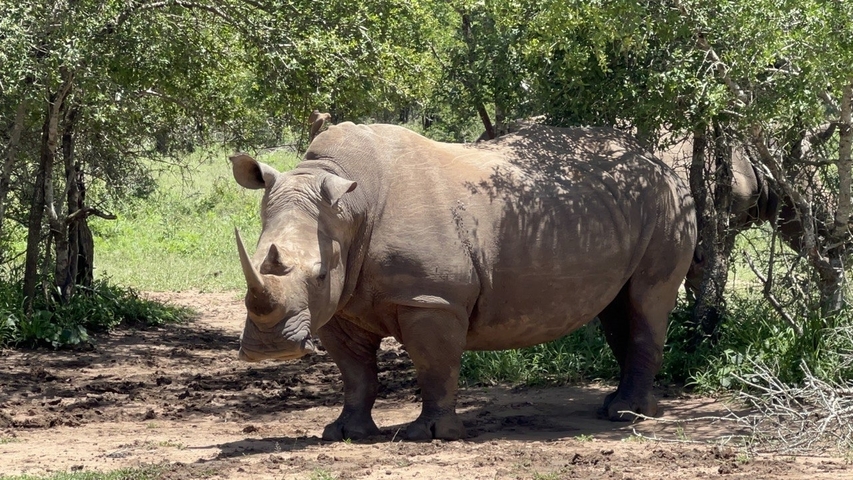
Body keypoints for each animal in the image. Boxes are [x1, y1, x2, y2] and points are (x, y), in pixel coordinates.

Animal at [230, 123, 697, 441]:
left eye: (320, 273)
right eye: (252, 258)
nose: (269, 349)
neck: (350, 206)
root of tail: (662, 164)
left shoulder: (431, 298)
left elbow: (434, 364)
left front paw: (431, 435)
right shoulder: (339, 306)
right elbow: (355, 372)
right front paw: (345, 433)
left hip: (668, 204)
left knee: (646, 301)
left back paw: (630, 416)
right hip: (621, 207)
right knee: (618, 307)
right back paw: (613, 407)